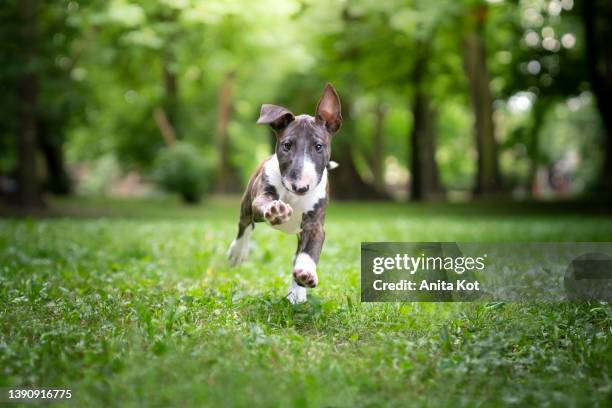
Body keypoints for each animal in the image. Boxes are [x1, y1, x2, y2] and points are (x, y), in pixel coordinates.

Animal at [228, 83, 344, 302]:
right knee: (244, 224)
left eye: (318, 146)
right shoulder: (262, 195)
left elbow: (309, 251)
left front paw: (305, 276)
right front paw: (277, 211)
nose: (300, 187)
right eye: (287, 145)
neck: (294, 198)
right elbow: (264, 205)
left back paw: (297, 291)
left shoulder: (315, 224)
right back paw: (238, 252)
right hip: (247, 203)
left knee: (297, 254)